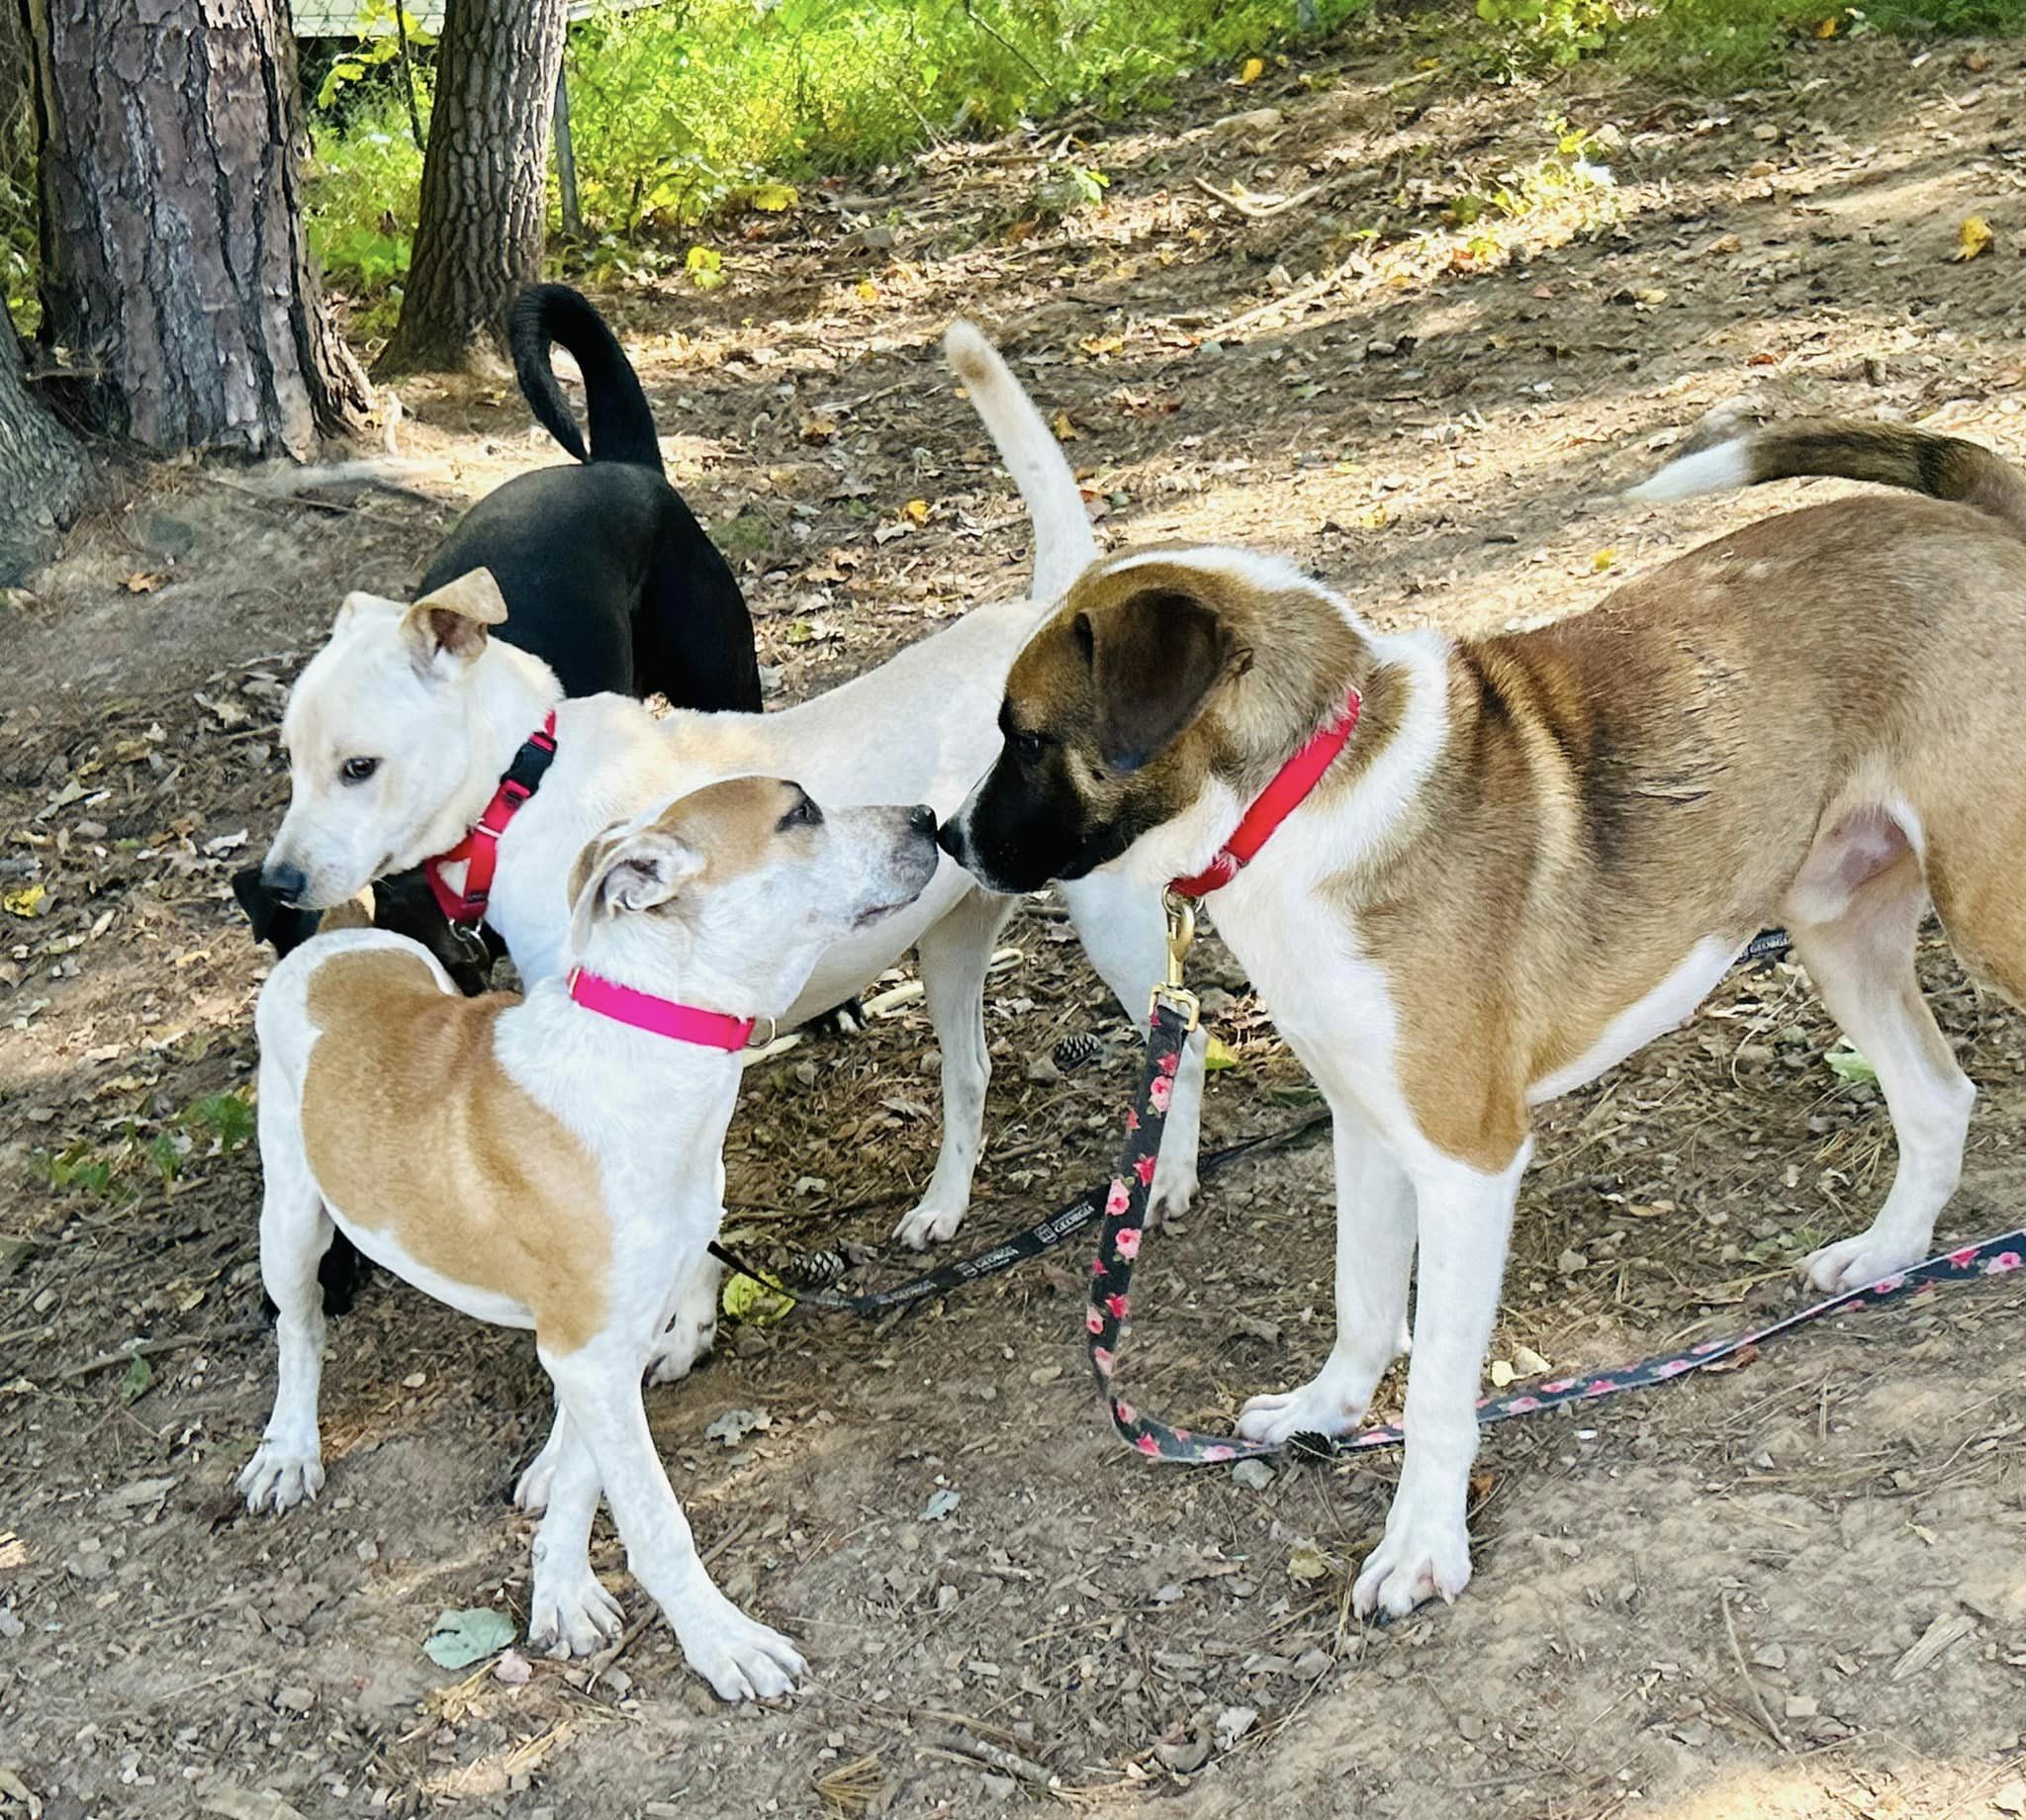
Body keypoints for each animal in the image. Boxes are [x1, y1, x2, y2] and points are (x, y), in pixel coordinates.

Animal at [241, 776, 940, 1699]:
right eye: (799, 816)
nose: (929, 818)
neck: (646, 1049)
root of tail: (335, 943)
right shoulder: (587, 1352)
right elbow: (653, 1517)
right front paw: (721, 1641)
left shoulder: (607, 1341)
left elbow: (582, 1479)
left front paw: (563, 1593)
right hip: (290, 1216)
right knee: (300, 1331)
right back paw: (288, 1449)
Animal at [255, 323, 1207, 1429]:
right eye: (290, 758)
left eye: (358, 766)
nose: (278, 885)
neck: (525, 784)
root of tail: (1037, 623)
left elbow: (692, 1234)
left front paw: (682, 1332)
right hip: (948, 946)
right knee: (971, 1077)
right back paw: (940, 1207)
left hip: (1112, 926)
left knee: (1182, 1040)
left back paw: (1166, 1184)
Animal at [940, 412, 2026, 1619]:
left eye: (1025, 737)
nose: (945, 838)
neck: (1303, 794)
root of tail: (1978, 523)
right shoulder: (1367, 1125)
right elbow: (1363, 1299)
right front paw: (1326, 1412)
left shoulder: (1468, 1160)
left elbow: (1439, 1392)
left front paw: (1420, 1546)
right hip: (1840, 932)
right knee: (1937, 1097)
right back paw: (1889, 1251)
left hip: (1988, 909)